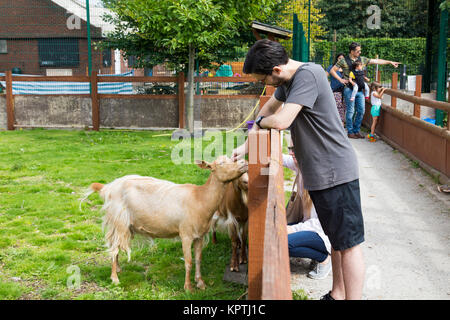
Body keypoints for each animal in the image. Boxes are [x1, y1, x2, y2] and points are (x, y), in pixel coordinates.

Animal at [82, 156, 248, 292]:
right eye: (221, 163)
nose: (244, 162)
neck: (199, 198)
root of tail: (107, 188)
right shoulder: (185, 234)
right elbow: (188, 261)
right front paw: (188, 287)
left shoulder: (199, 236)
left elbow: (198, 259)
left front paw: (200, 283)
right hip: (119, 221)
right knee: (115, 248)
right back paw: (115, 279)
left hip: (119, 224)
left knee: (114, 246)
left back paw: (118, 269)